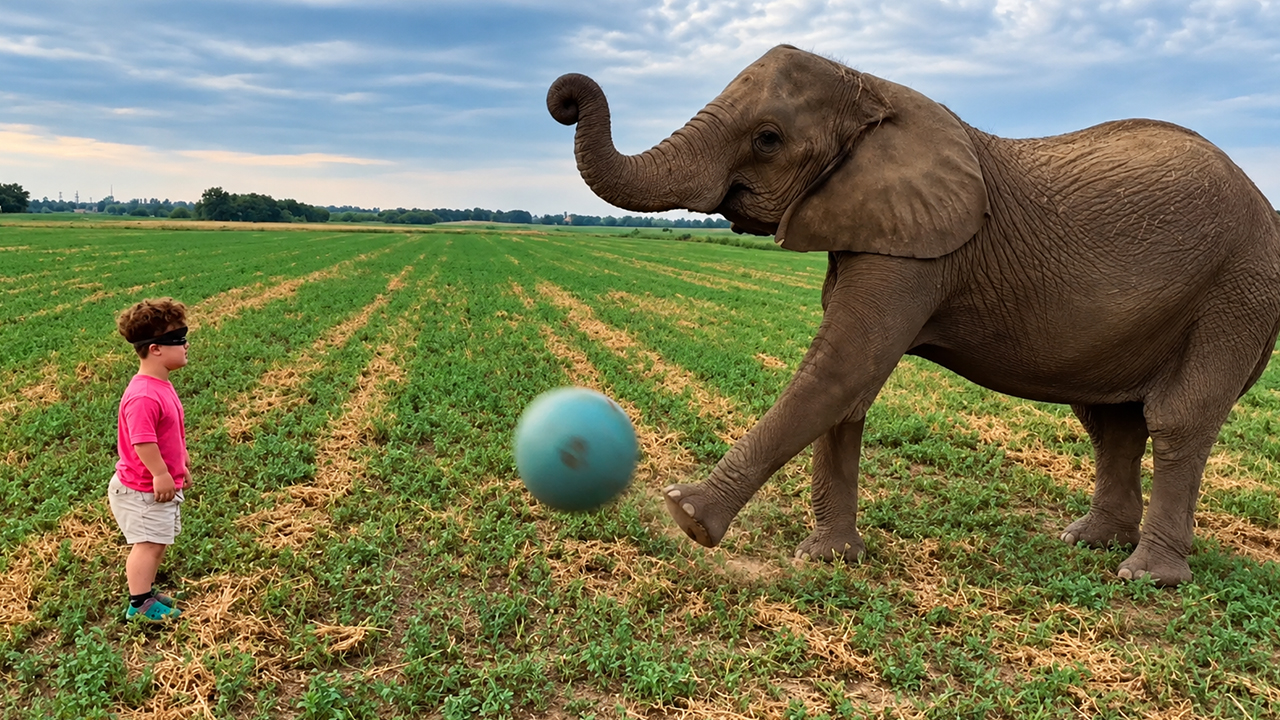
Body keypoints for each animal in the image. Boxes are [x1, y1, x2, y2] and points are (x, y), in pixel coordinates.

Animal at [546, 45, 1280, 586]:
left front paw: (687, 518)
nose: (565, 97)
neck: (873, 89)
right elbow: (848, 385)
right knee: (1110, 420)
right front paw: (828, 560)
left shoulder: (923, 250)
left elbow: (844, 366)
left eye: (768, 139)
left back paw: (1146, 576)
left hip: (1237, 288)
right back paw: (1089, 543)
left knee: (1177, 417)